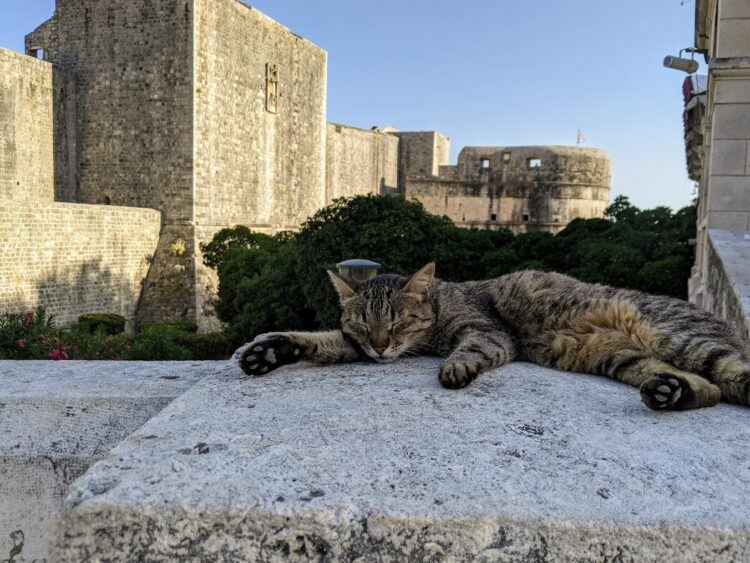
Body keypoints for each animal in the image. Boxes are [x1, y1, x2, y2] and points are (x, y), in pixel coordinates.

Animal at [241, 262, 750, 412]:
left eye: (398, 323)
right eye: (365, 326)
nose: (382, 345)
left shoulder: (488, 330)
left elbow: (476, 347)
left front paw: (458, 367)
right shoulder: (355, 347)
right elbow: (318, 339)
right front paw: (268, 350)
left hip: (680, 338)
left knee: (732, 374)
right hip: (626, 358)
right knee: (706, 389)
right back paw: (672, 392)